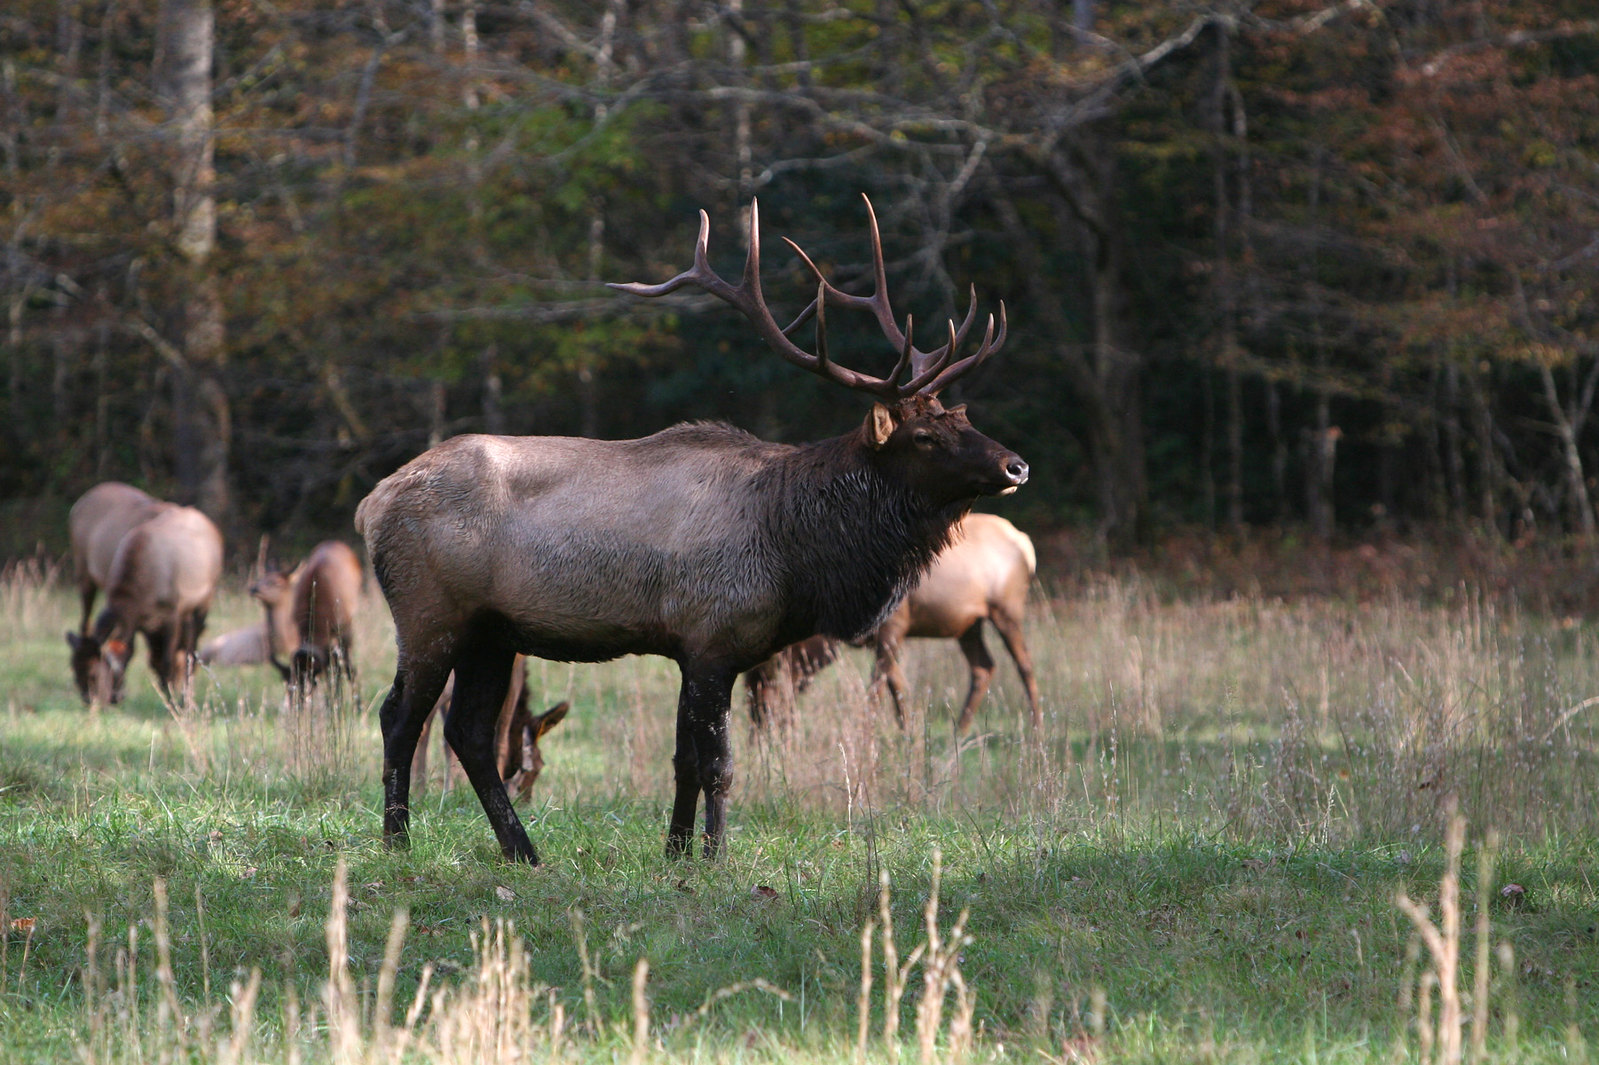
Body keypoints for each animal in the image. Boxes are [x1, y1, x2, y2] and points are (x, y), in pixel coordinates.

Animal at [65, 504, 224, 705]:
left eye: (93, 673)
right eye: (74, 670)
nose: (89, 700)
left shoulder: (172, 614)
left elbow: (167, 660)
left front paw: (172, 698)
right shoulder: (140, 623)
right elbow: (137, 655)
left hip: (205, 599)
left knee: (191, 648)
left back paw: (187, 692)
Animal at [744, 512, 1039, 735]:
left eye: (764, 679)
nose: (759, 726)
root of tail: (1025, 542)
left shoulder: (893, 626)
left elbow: (877, 689)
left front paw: (868, 736)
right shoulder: (883, 637)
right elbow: (898, 685)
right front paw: (907, 733)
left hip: (1007, 609)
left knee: (1024, 664)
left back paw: (1037, 726)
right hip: (967, 625)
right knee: (983, 666)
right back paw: (960, 730)